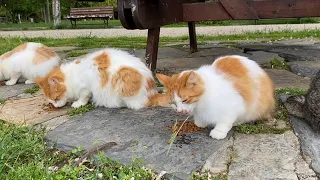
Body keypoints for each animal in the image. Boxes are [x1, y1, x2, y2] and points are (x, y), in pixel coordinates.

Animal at [35, 47, 168, 109]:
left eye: (56, 98)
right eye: (51, 101)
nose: (55, 106)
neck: (71, 76)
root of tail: (152, 92)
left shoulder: (86, 87)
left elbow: (83, 97)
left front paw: (78, 103)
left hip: (122, 78)